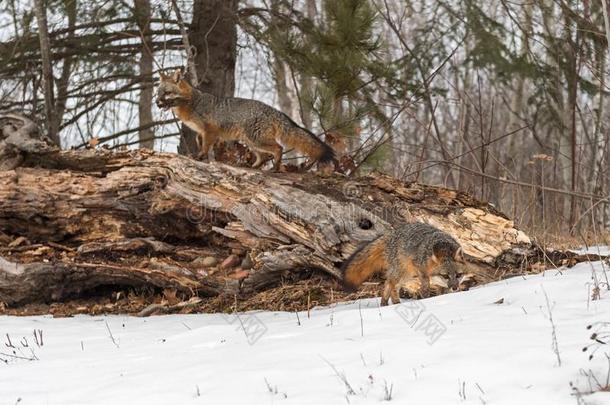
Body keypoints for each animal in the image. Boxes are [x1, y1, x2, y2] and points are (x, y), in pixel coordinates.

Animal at [154, 69, 334, 170]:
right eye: (158, 93)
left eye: (167, 93)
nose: (156, 103)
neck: (192, 102)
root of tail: (274, 110)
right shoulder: (201, 132)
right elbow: (200, 143)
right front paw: (199, 155)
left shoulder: (210, 131)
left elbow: (205, 147)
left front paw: (200, 157)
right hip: (251, 142)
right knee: (264, 157)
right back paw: (252, 166)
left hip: (256, 140)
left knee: (278, 148)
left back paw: (275, 168)